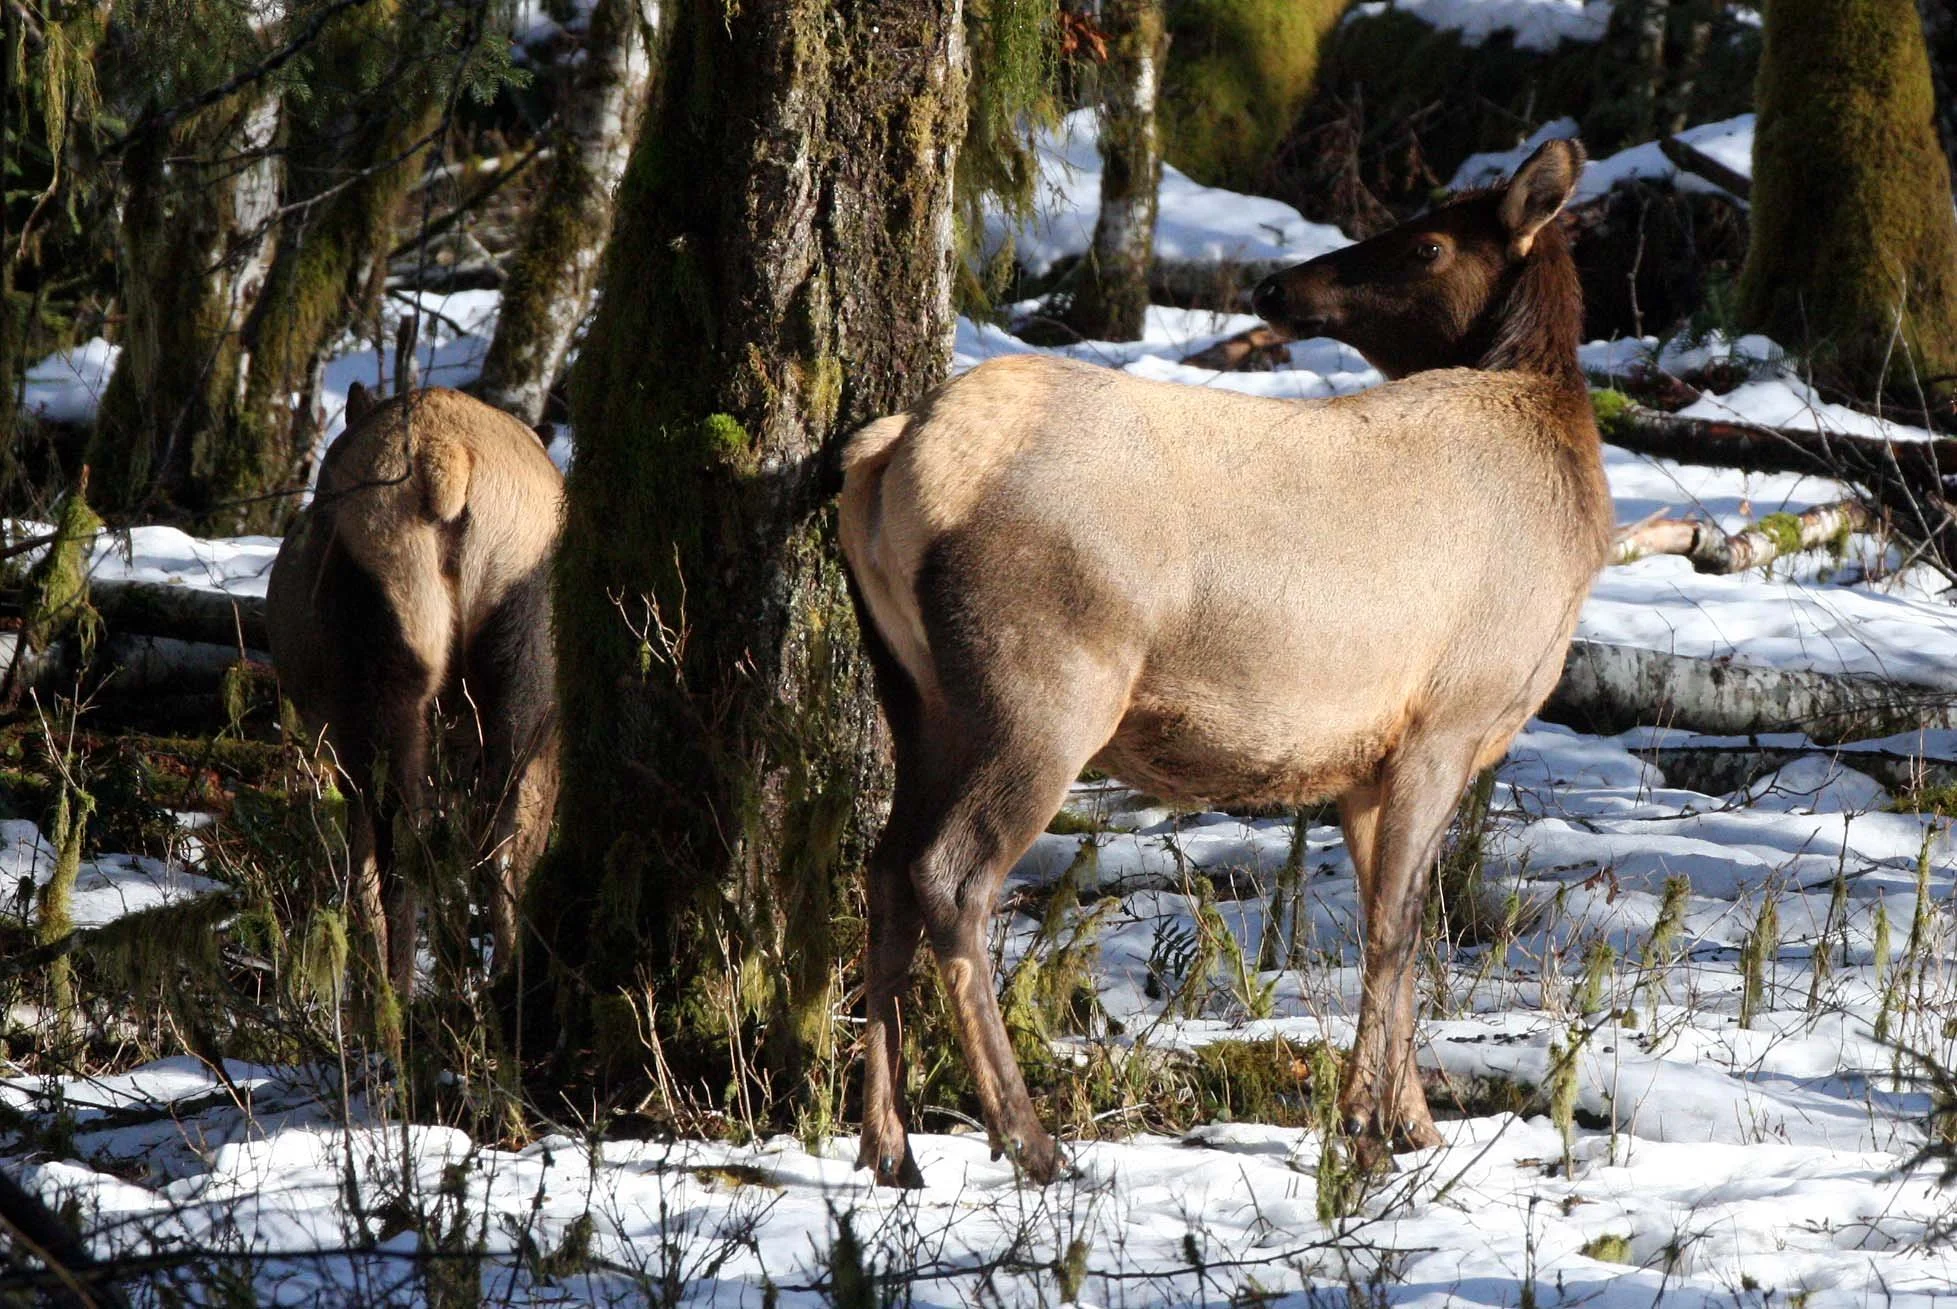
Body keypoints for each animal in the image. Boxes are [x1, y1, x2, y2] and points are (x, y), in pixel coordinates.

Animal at [267, 383, 563, 999]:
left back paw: (393, 994)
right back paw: (498, 978)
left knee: (402, 840)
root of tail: (447, 461)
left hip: (381, 646)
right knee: (494, 832)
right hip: (518, 664)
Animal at [836, 139, 1610, 1187]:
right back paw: (1028, 1139)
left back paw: (888, 1145)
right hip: (1044, 685)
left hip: (913, 692)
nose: (1275, 284)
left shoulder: (1369, 757)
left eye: (1428, 242)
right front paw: (1365, 1129)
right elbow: (1398, 927)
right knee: (948, 876)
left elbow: (1394, 926)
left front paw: (1411, 1124)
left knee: (881, 867)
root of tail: (887, 456)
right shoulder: (1444, 720)